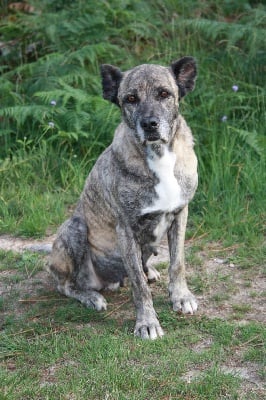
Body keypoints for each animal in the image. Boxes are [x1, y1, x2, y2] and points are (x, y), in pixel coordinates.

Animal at [47, 55, 197, 338]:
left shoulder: (180, 214)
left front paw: (181, 297)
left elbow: (178, 263)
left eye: (164, 94)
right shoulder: (126, 229)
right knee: (66, 284)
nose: (149, 124)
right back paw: (91, 297)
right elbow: (139, 285)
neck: (159, 155)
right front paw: (147, 322)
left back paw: (150, 271)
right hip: (74, 229)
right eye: (130, 99)